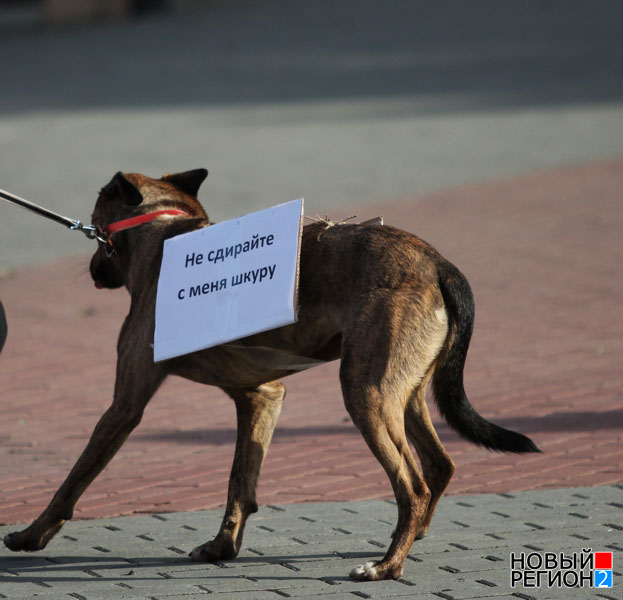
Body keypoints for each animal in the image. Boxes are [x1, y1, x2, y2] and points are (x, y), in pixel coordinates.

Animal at [2, 169, 540, 580]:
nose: (95, 271)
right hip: (401, 394)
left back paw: (387, 565)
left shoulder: (124, 406)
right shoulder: (261, 395)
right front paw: (222, 547)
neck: (167, 239)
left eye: (96, 221)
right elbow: (240, 481)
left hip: (365, 394)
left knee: (413, 484)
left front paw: (31, 534)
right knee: (440, 466)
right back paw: (411, 536)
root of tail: (437, 263)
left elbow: (73, 480)